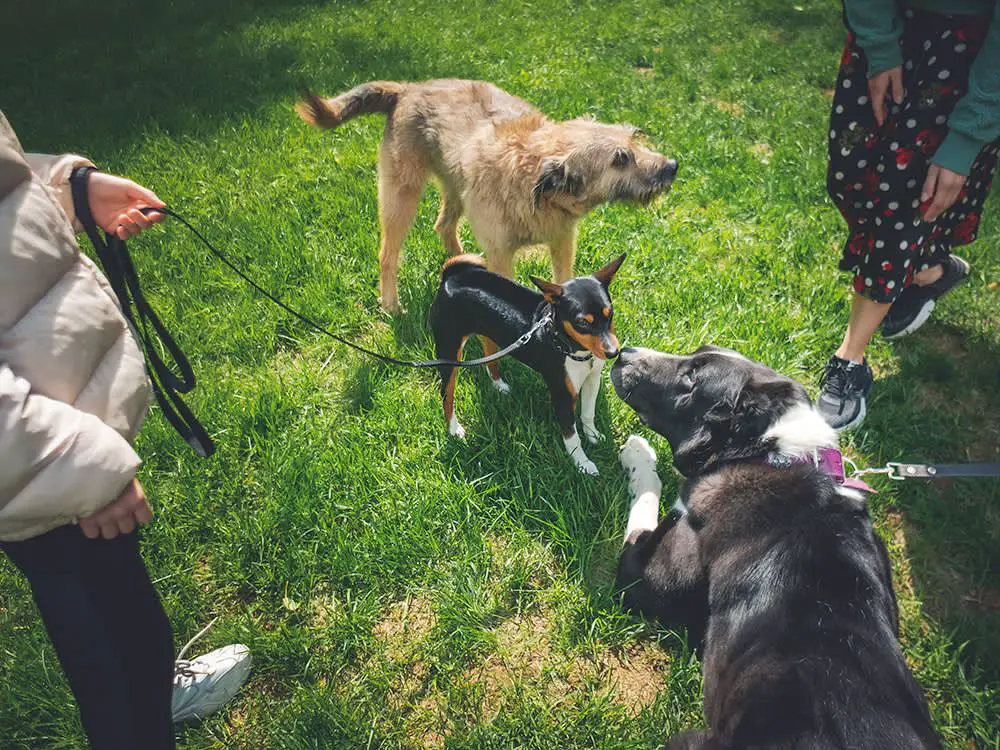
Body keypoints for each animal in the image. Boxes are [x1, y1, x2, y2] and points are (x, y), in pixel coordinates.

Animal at [294, 76, 672, 312]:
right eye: (619, 159)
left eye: (634, 139)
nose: (673, 166)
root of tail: (407, 90)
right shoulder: (502, 254)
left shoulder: (562, 242)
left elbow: (564, 280)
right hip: (401, 196)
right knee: (388, 253)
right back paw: (391, 304)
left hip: (456, 189)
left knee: (444, 226)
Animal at [430, 253, 624, 476]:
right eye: (582, 323)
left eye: (610, 313)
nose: (613, 352)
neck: (573, 349)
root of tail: (450, 277)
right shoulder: (562, 394)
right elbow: (571, 436)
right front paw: (582, 463)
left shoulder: (592, 379)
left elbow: (588, 414)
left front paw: (593, 436)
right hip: (449, 351)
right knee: (446, 393)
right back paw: (454, 428)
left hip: (490, 336)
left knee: (489, 357)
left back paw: (499, 385)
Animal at [604, 346, 940, 750]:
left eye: (693, 377)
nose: (625, 352)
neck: (767, 452)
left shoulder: (644, 574)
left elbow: (646, 501)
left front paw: (638, 453)